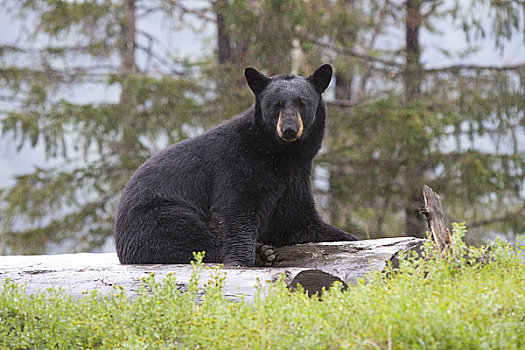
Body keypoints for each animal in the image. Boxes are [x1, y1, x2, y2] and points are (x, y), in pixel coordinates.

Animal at [114, 64, 356, 266]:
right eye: (276, 105)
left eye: (301, 103)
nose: (289, 129)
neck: (279, 155)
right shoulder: (238, 165)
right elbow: (234, 212)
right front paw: (242, 259)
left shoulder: (295, 178)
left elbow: (297, 219)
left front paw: (346, 236)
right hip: (156, 214)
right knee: (186, 235)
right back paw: (261, 253)